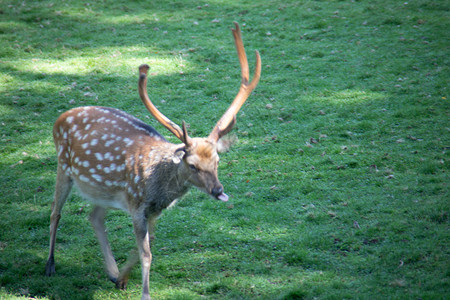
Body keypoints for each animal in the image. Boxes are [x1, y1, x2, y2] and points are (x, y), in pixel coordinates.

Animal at [44, 22, 260, 298]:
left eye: (217, 161)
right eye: (192, 165)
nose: (218, 190)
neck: (159, 187)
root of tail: (60, 117)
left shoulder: (153, 211)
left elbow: (146, 246)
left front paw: (123, 279)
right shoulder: (137, 204)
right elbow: (146, 254)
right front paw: (145, 293)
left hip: (103, 190)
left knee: (94, 216)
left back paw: (113, 272)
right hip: (63, 165)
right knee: (55, 211)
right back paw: (50, 264)